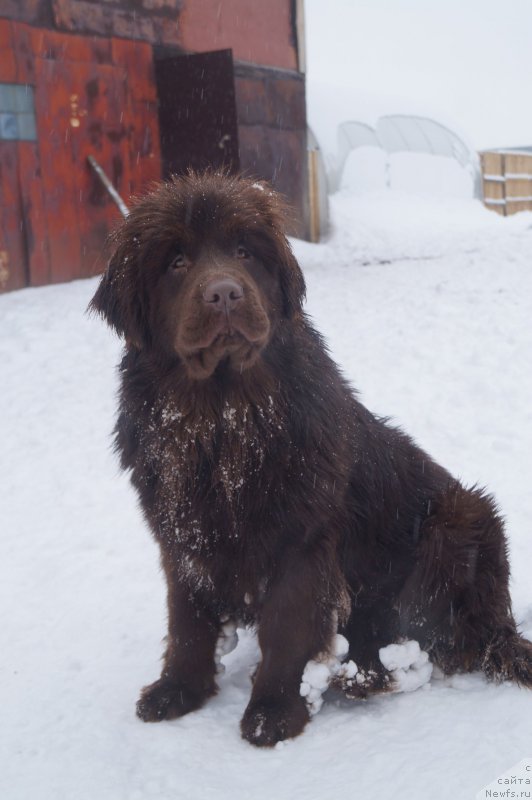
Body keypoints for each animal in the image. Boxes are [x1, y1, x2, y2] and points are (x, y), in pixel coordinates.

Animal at [91, 172, 532, 748]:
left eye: (244, 251)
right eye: (177, 262)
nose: (225, 292)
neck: (224, 422)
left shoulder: (301, 541)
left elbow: (286, 627)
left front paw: (273, 713)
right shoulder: (183, 536)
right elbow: (186, 619)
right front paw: (177, 690)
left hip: (460, 521)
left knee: (440, 638)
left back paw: (366, 672)